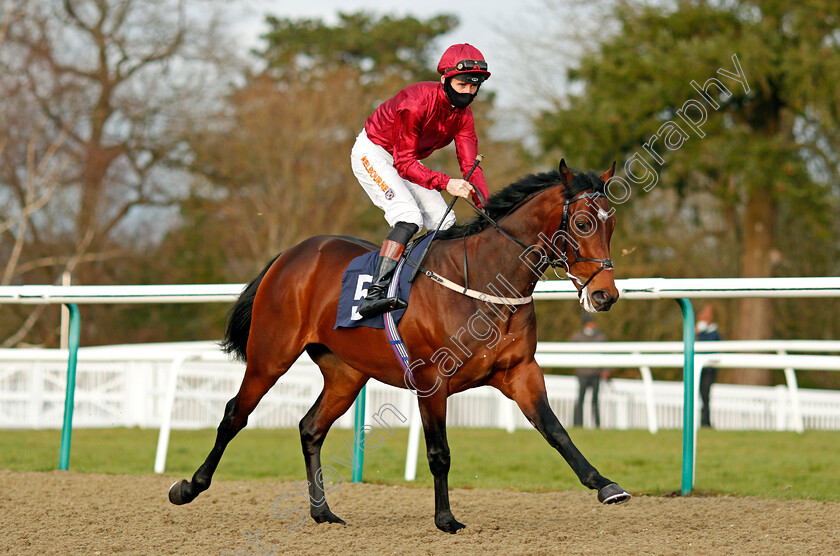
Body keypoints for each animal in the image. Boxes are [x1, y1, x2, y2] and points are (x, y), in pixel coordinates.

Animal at [169, 159, 632, 532]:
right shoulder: (432, 379)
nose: (606, 296)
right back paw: (188, 487)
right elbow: (440, 452)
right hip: (270, 355)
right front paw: (446, 519)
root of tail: (290, 253)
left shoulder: (519, 371)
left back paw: (323, 511)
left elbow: (556, 431)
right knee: (234, 415)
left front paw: (606, 485)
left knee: (310, 427)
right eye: (582, 224)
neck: (484, 281)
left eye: (611, 224)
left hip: (346, 373)